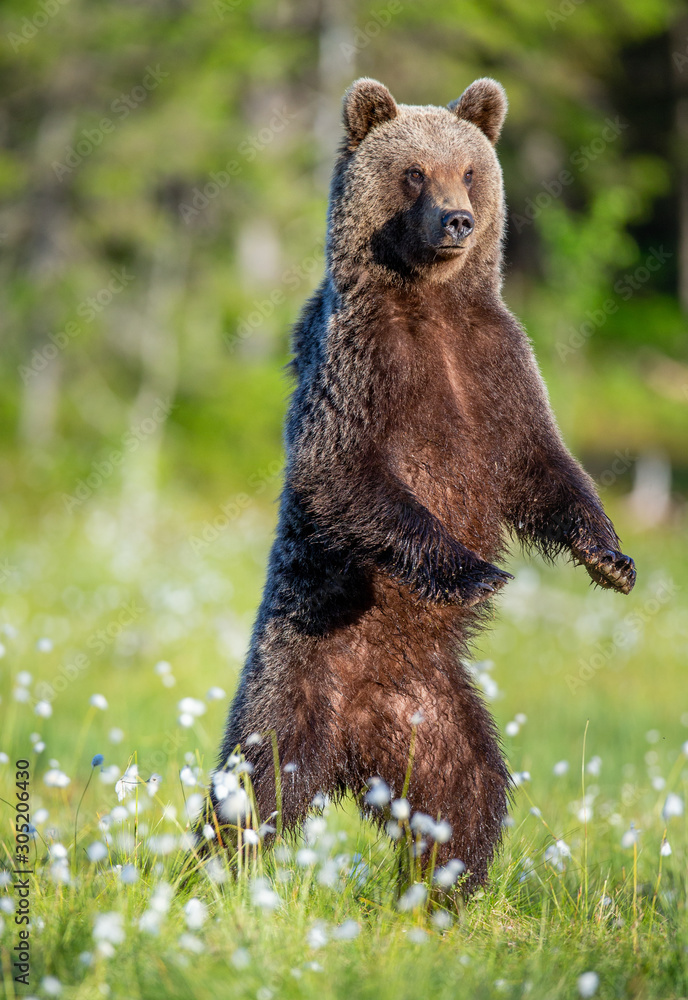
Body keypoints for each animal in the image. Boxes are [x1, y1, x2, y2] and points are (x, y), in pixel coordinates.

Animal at [205, 77, 636, 890]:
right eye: (414, 174)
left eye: (467, 170)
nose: (457, 219)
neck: (428, 303)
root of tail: (356, 745)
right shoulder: (360, 362)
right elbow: (342, 472)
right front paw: (475, 571)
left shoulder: (497, 362)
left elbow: (544, 466)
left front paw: (611, 559)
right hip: (294, 676)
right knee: (257, 788)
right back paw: (214, 876)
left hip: (436, 717)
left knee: (468, 796)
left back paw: (443, 886)